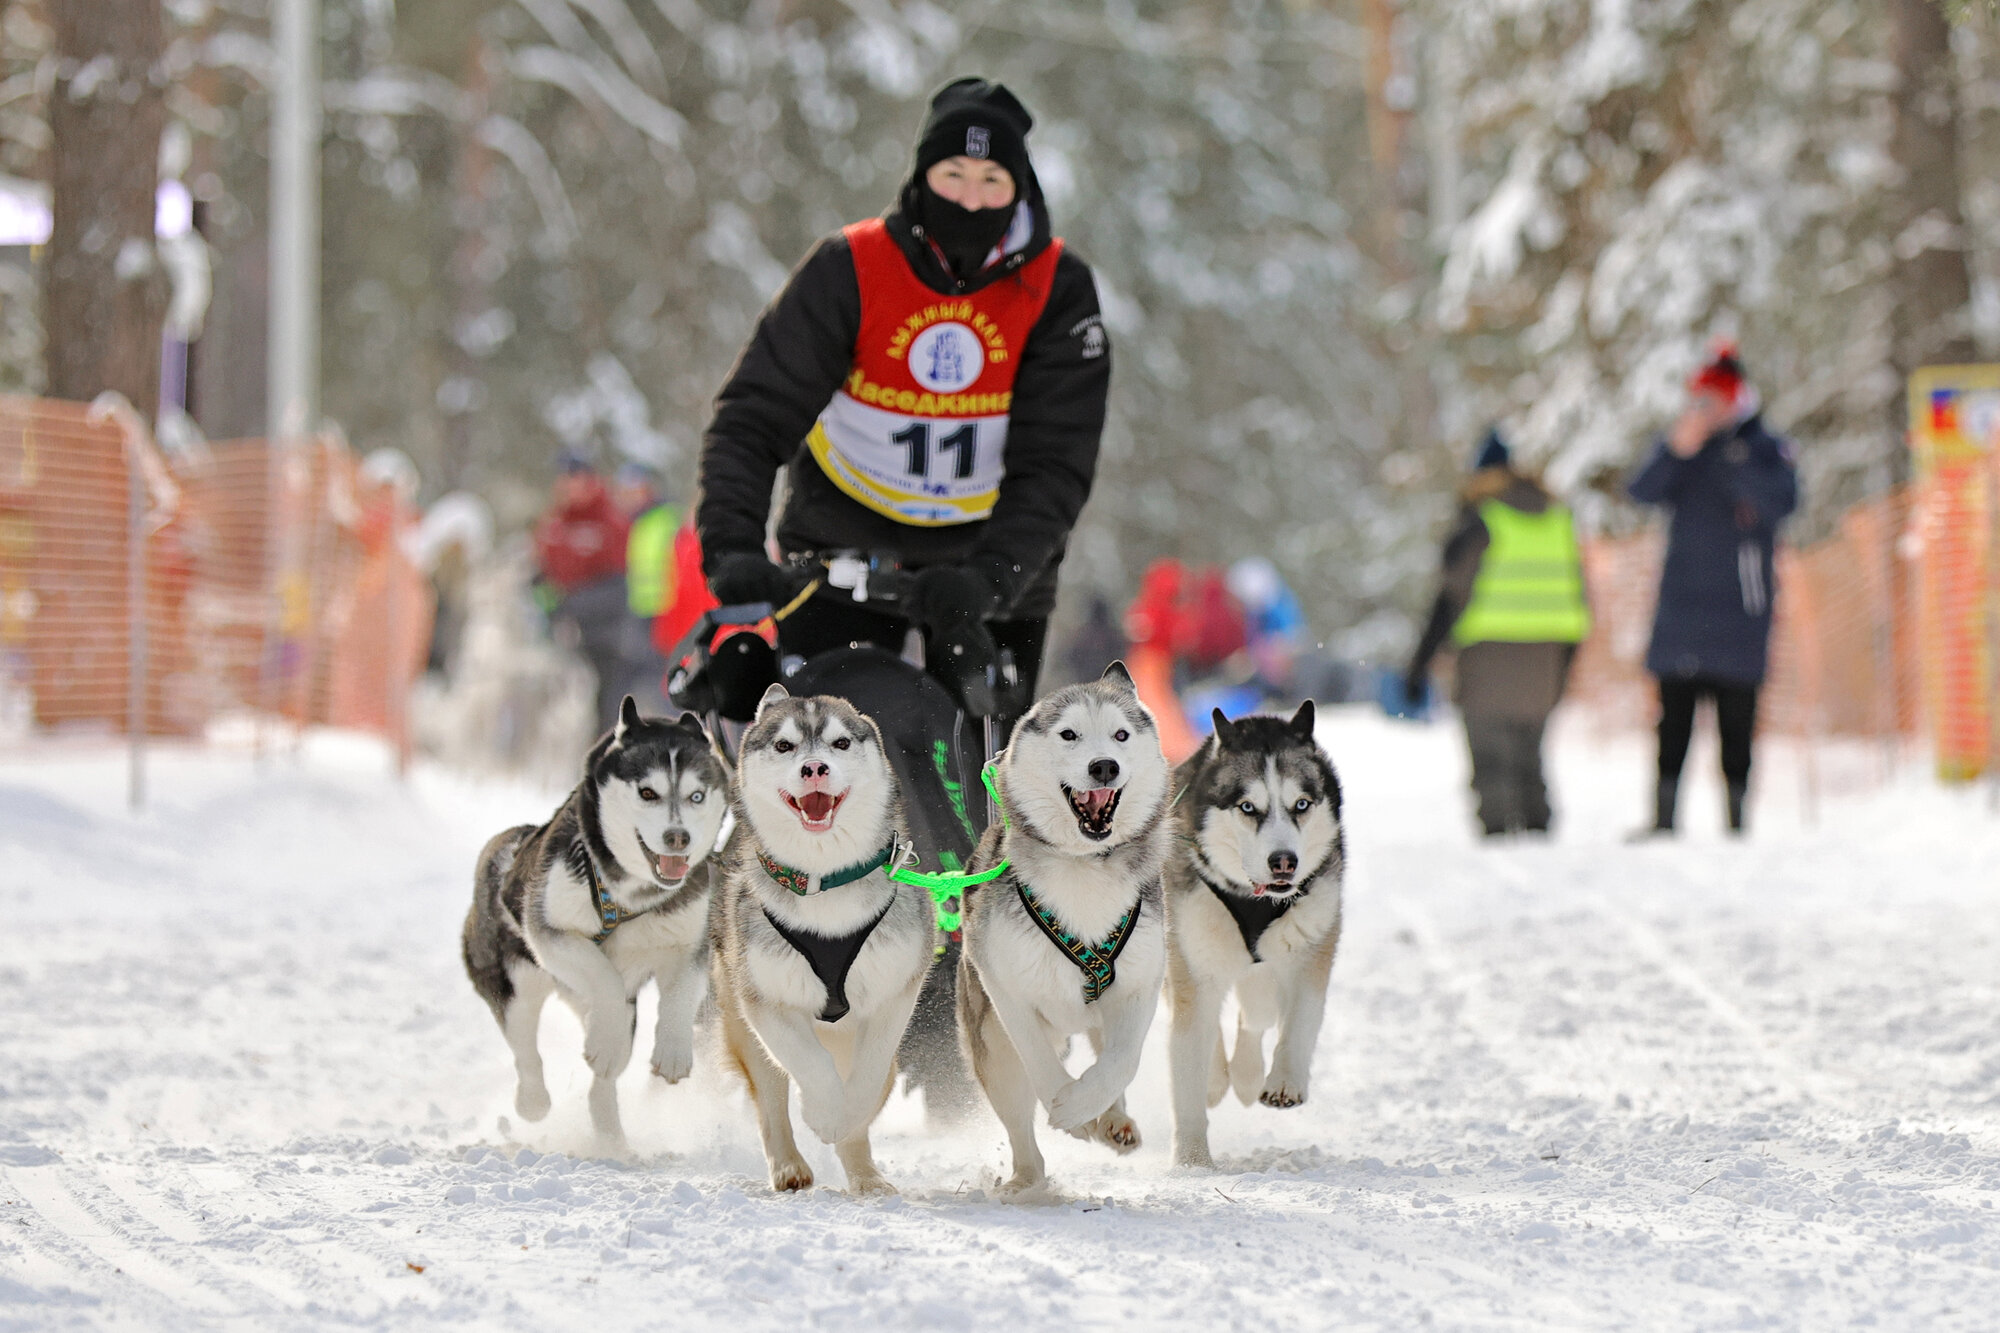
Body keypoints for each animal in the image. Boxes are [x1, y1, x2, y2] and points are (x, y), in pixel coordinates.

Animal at [463, 696, 731, 1146]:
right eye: (647, 792)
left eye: (696, 795)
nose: (679, 838)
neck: (630, 894)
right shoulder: (551, 932)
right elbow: (603, 975)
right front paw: (603, 1040)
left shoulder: (690, 943)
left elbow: (681, 994)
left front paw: (673, 1050)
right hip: (514, 981)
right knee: (526, 1046)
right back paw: (534, 1100)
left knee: (607, 1068)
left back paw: (610, 1133)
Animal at [710, 685, 935, 1194]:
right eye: (784, 746)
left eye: (840, 743)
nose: (815, 768)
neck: (825, 882)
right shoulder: (765, 1001)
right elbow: (808, 1065)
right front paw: (824, 1111)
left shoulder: (896, 991)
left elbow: (867, 1079)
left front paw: (843, 1119)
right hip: (744, 1022)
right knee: (772, 1098)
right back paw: (789, 1165)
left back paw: (866, 1176)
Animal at [956, 663, 1172, 1192]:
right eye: (1069, 734)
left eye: (1120, 734)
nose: (1104, 766)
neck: (1083, 866)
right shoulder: (1006, 989)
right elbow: (1038, 1059)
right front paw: (1072, 1112)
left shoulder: (1141, 982)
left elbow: (1123, 1060)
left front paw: (1087, 1106)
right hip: (988, 1035)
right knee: (1019, 1121)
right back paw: (1027, 1180)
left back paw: (1113, 1120)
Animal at [1163, 702, 1344, 1169]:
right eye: (1248, 806)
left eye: (1301, 804)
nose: (1284, 862)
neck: (1253, 897)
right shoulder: (1190, 957)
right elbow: (1189, 1053)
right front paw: (1192, 1161)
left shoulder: (1311, 946)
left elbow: (1299, 1018)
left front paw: (1283, 1081)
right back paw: (1218, 1079)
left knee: (1258, 1009)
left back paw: (1246, 1076)